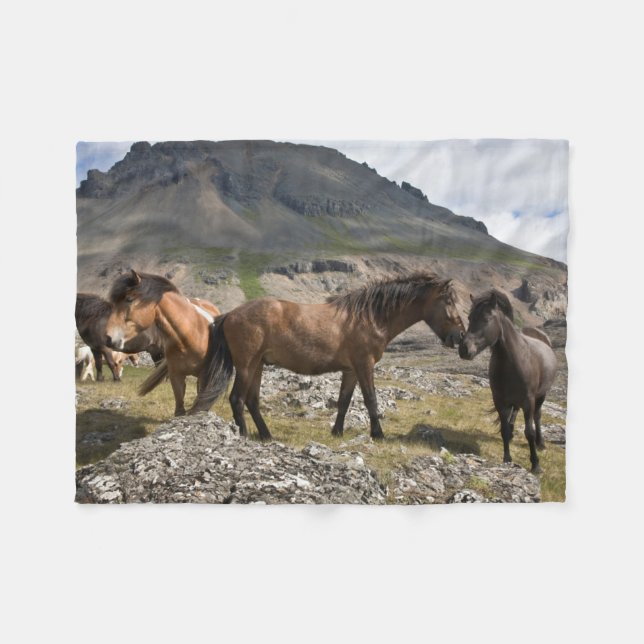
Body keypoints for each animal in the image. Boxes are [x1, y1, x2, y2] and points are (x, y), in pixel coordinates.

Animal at [104, 270, 221, 416]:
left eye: (129, 299)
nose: (108, 338)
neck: (189, 337)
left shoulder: (205, 377)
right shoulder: (176, 376)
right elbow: (179, 410)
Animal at [191, 272, 465, 441]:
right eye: (449, 301)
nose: (460, 335)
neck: (370, 317)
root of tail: (230, 314)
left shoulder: (351, 370)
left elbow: (344, 401)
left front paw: (337, 432)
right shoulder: (364, 365)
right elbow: (371, 400)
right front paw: (378, 434)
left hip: (258, 365)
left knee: (251, 401)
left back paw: (267, 435)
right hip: (247, 365)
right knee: (237, 400)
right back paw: (245, 435)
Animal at [458, 289, 557, 474]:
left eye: (486, 318)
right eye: (469, 318)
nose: (464, 349)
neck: (514, 360)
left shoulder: (528, 401)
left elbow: (529, 432)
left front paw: (536, 465)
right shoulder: (499, 400)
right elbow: (504, 429)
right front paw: (507, 459)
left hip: (541, 395)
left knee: (538, 416)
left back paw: (540, 443)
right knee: (514, 415)